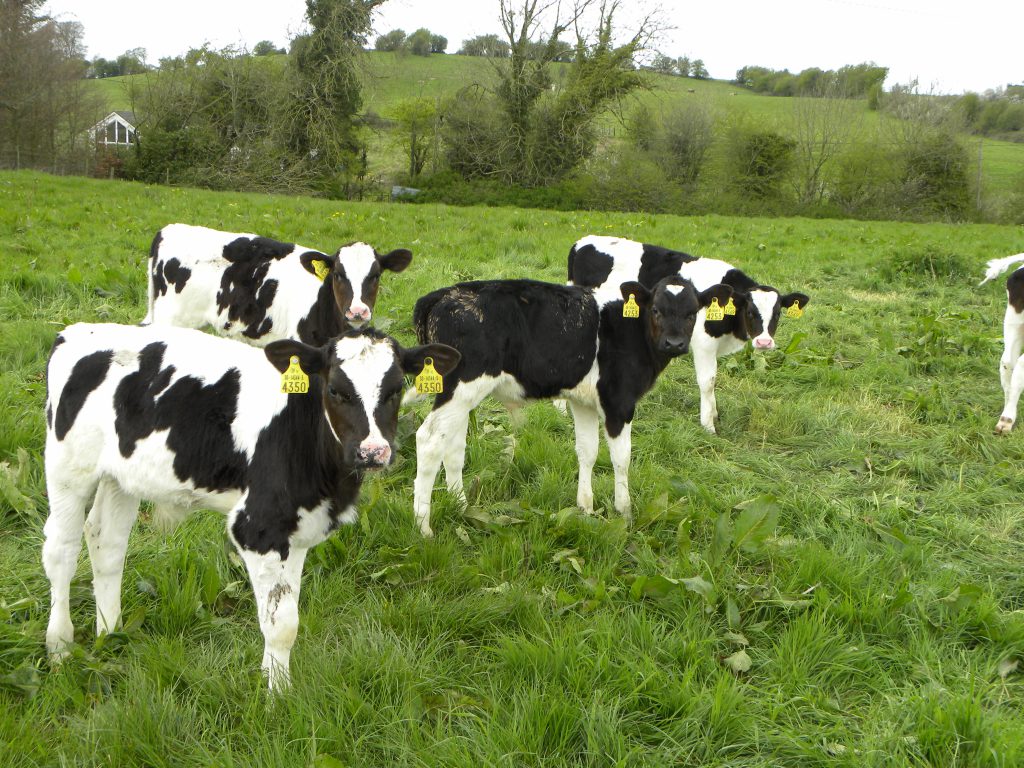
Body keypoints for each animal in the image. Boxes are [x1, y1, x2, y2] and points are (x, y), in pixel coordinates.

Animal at [43, 322, 459, 689]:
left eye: (395, 389)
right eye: (336, 390)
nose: (373, 452)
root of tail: (76, 332)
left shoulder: (298, 528)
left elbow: (286, 610)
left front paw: (271, 680)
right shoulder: (258, 525)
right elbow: (282, 624)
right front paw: (278, 697)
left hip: (121, 476)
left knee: (106, 542)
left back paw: (110, 632)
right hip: (67, 468)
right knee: (62, 551)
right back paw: (59, 646)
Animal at [409, 276, 732, 537]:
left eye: (692, 312)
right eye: (656, 310)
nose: (674, 343)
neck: (629, 329)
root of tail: (442, 295)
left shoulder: (582, 402)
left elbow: (587, 452)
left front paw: (585, 508)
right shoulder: (619, 402)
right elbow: (622, 458)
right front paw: (624, 512)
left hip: (461, 395)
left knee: (452, 448)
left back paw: (461, 506)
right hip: (463, 386)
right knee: (428, 440)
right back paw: (424, 528)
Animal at [568, 235, 809, 434]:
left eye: (778, 313)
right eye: (750, 312)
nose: (764, 342)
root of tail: (582, 242)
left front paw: (714, 414)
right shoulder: (704, 343)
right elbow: (708, 381)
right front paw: (708, 425)